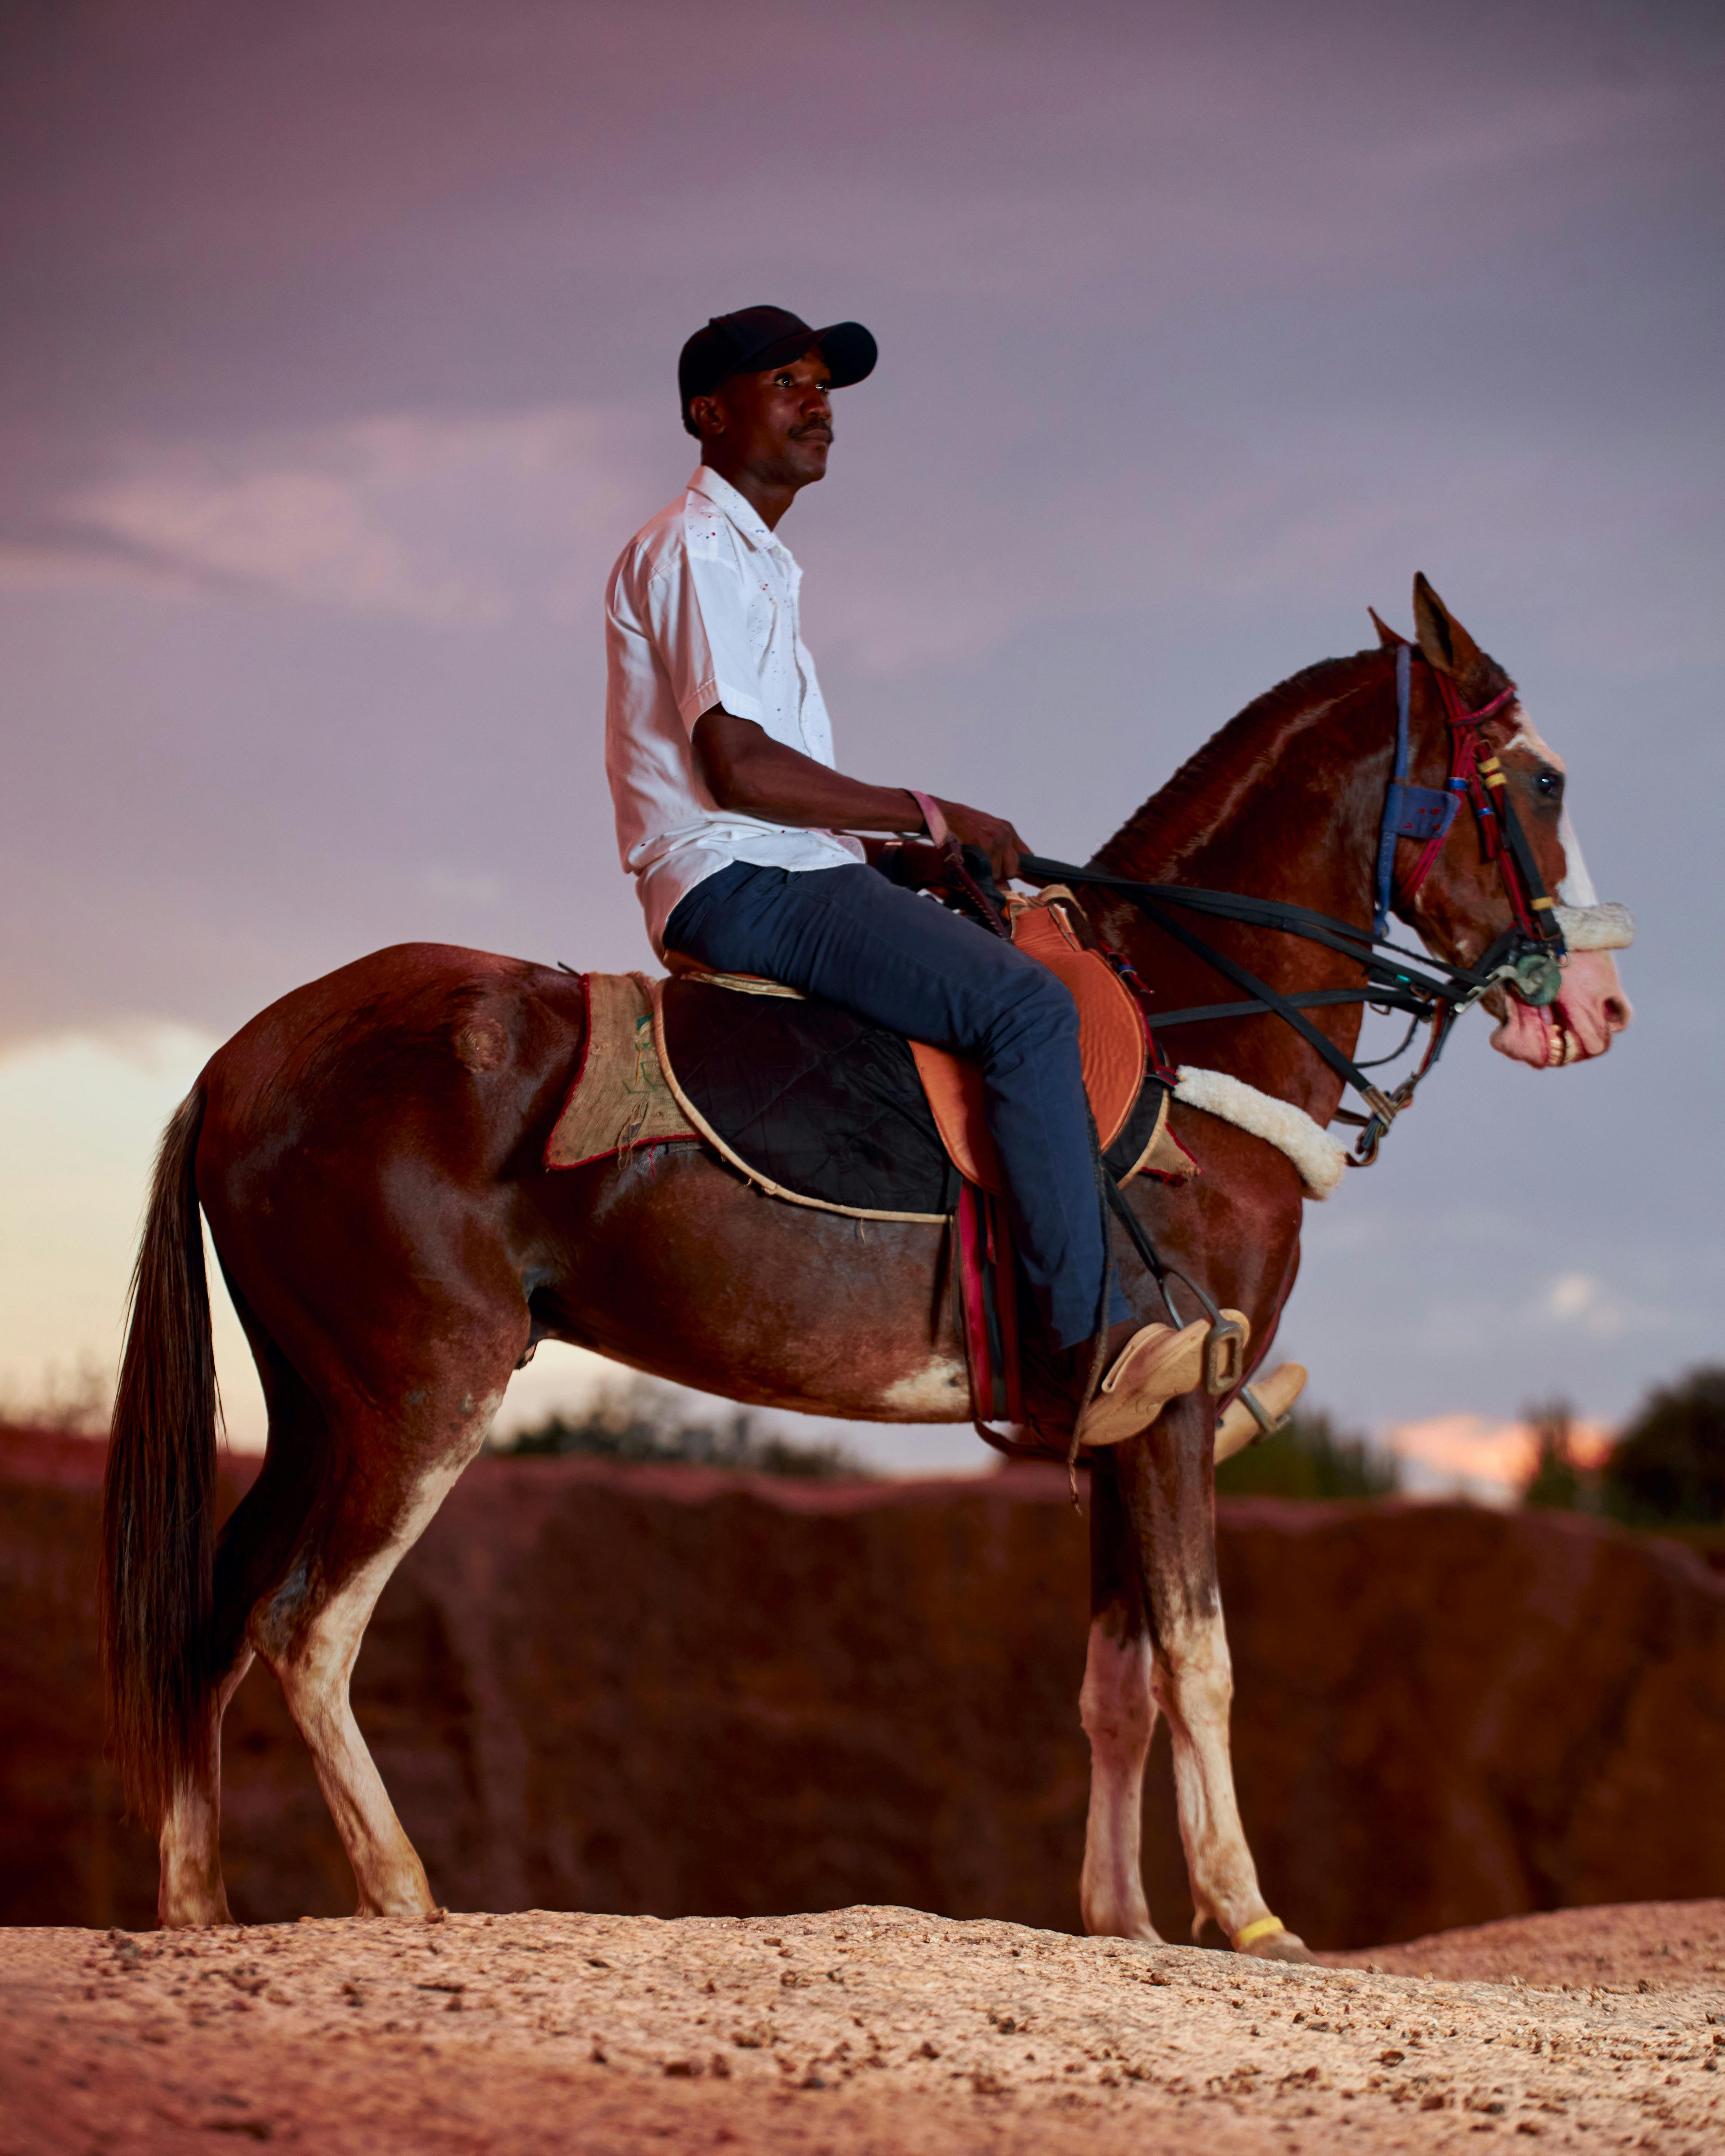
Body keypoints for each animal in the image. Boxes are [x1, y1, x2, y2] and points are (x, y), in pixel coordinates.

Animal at [102, 576, 1631, 1944]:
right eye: (1545, 780)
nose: (1603, 1003)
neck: (1194, 1027)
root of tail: (239, 1058)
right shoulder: (1179, 1403)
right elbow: (1201, 1663)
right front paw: (1248, 1914)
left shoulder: (1113, 1419)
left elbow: (1116, 1684)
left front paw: (1124, 1919)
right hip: (423, 1389)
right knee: (307, 1629)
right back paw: (404, 1892)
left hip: (321, 1400)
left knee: (214, 1620)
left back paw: (194, 1908)